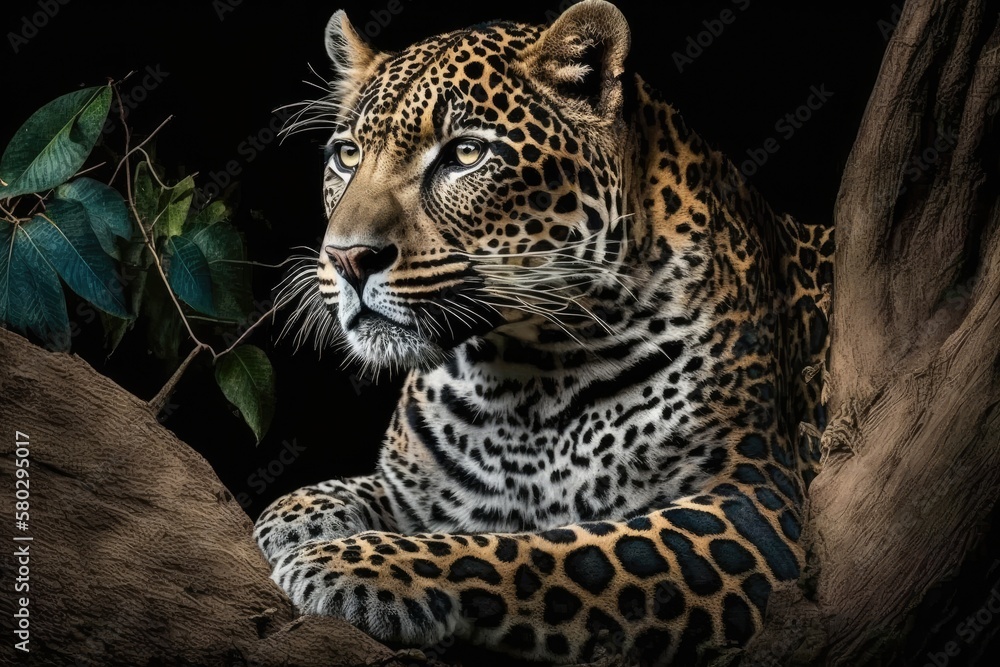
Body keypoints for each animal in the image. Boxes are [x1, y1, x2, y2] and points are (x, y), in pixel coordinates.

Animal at [254, 2, 833, 664]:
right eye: (347, 155)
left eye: (466, 154)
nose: (348, 259)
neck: (521, 376)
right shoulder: (419, 487)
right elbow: (363, 489)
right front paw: (298, 515)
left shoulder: (754, 500)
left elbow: (539, 551)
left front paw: (355, 563)